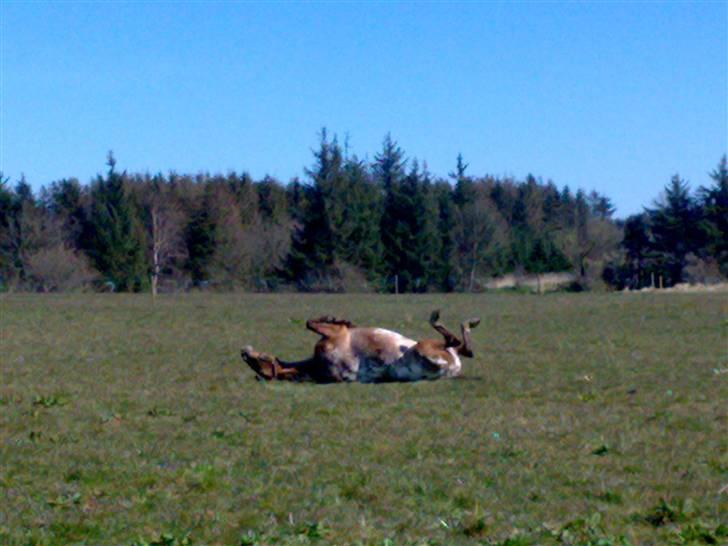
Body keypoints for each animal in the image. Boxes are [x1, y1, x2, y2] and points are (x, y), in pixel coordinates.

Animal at [240, 310, 478, 382]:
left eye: (258, 360)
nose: (244, 351)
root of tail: (450, 370)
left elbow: (310, 322)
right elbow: (311, 323)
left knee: (462, 346)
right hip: (425, 346)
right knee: (457, 343)